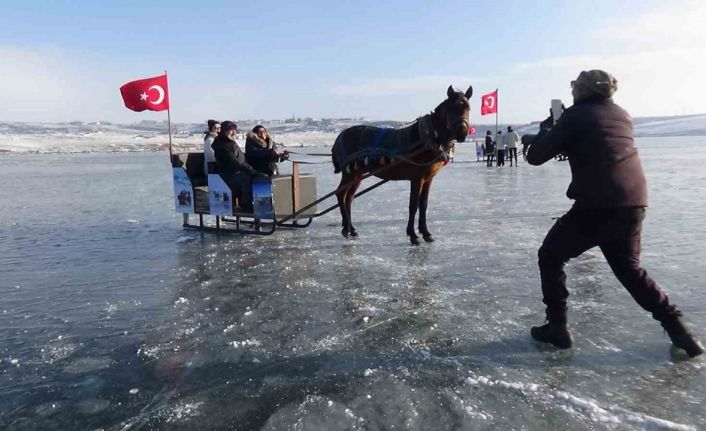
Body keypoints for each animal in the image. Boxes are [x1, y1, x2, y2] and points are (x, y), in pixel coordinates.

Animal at [332, 85, 472, 246]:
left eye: (468, 107)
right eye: (452, 107)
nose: (462, 133)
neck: (429, 137)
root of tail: (339, 137)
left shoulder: (428, 178)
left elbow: (423, 204)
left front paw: (426, 233)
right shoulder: (417, 178)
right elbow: (413, 205)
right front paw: (413, 234)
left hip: (358, 174)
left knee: (349, 198)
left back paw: (351, 228)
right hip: (349, 173)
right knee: (341, 194)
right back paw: (346, 229)